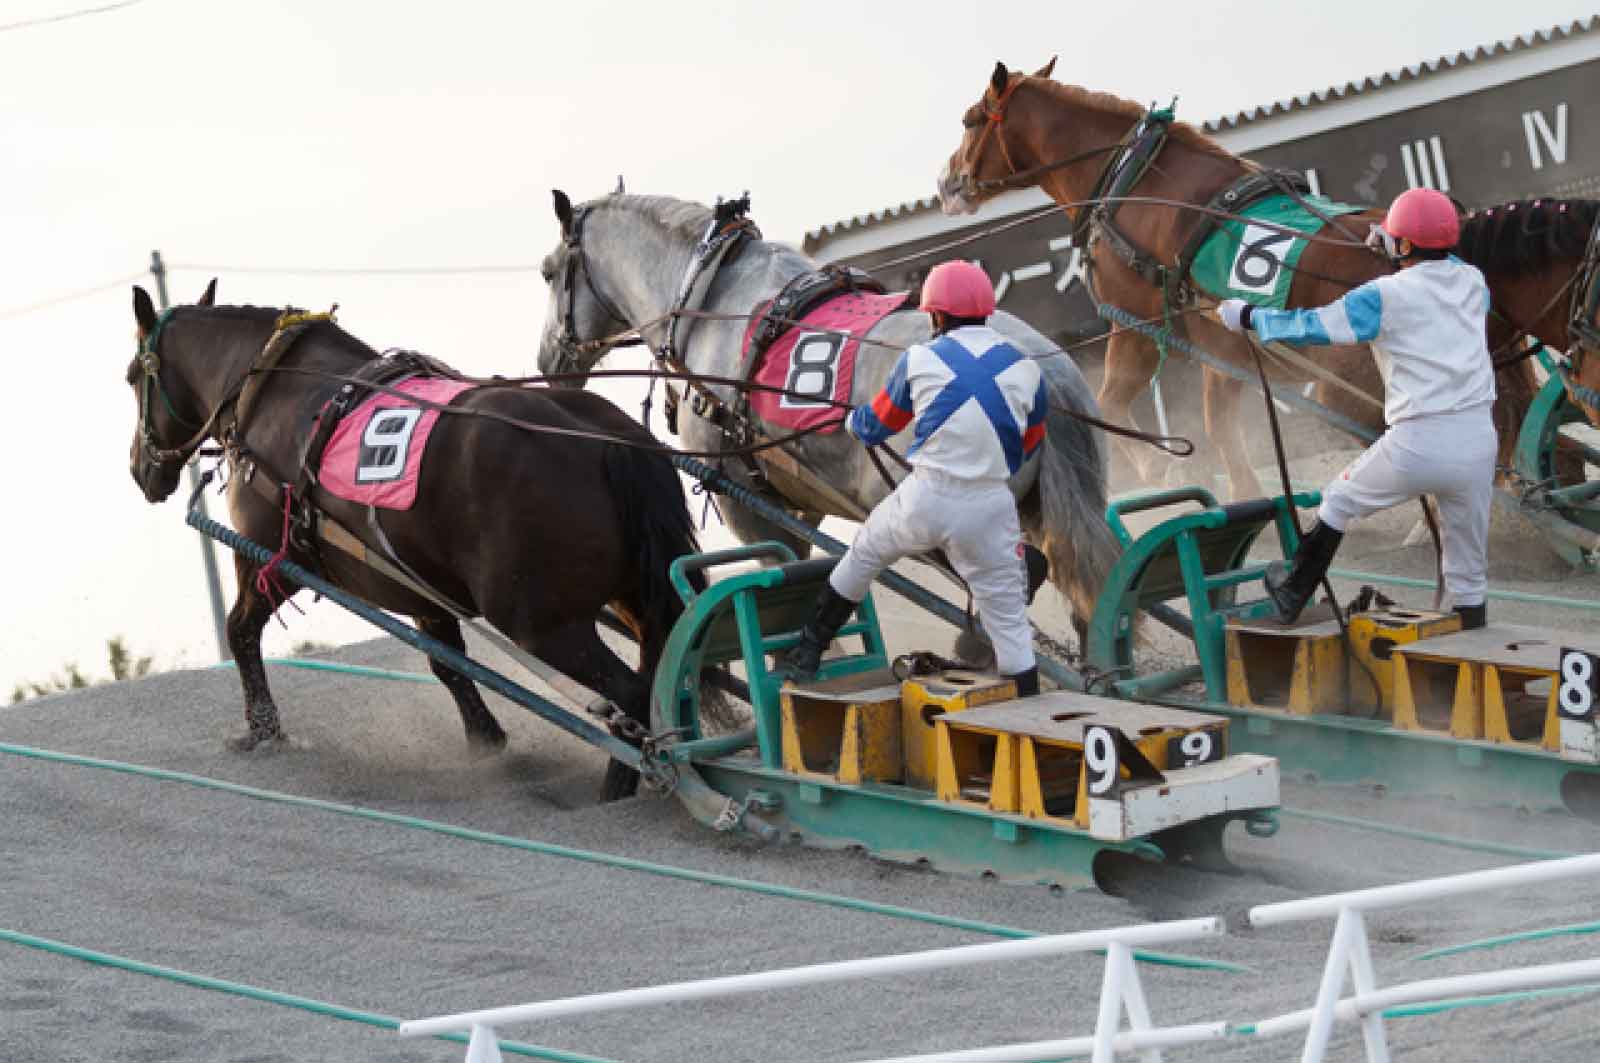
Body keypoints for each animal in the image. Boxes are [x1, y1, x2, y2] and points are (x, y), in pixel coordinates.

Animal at [124, 281, 700, 797]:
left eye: (132, 377)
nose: (138, 467)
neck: (273, 391)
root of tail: (609, 440)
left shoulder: (271, 559)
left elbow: (240, 630)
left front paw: (263, 730)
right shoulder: (419, 585)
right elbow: (447, 663)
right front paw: (485, 739)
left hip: (541, 624)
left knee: (632, 694)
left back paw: (627, 781)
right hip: (636, 598)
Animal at [531, 191, 1120, 640]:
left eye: (547, 273)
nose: (547, 361)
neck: (709, 301)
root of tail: (1048, 375)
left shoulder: (752, 507)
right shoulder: (797, 501)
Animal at [934, 61, 1548, 499]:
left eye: (968, 120)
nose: (944, 182)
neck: (1136, 184)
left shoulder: (1137, 325)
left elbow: (1119, 404)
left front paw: (1162, 468)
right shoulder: (1221, 344)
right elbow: (1219, 422)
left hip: (1350, 390)